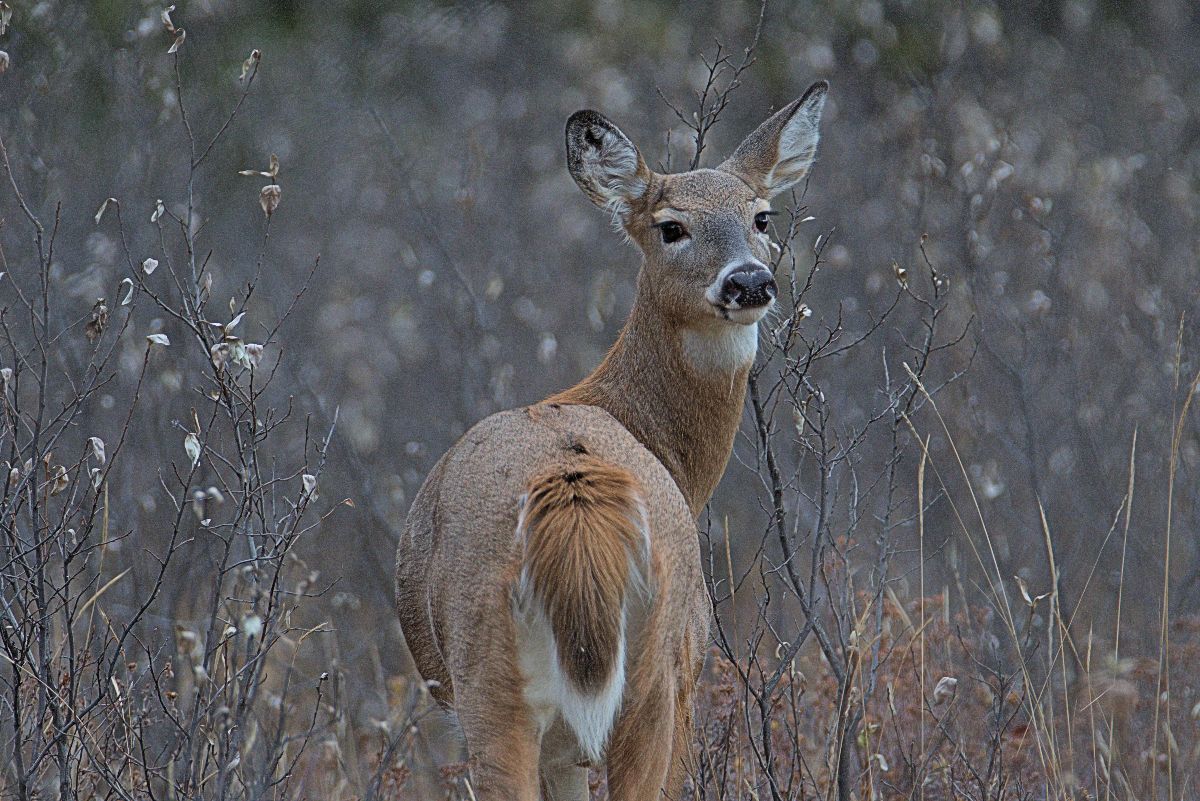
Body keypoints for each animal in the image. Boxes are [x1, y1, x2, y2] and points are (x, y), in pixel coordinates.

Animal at [398, 81, 830, 801]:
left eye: (762, 217)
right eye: (671, 227)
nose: (748, 282)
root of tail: (576, 498)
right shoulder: (687, 666)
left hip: (499, 690)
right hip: (649, 676)